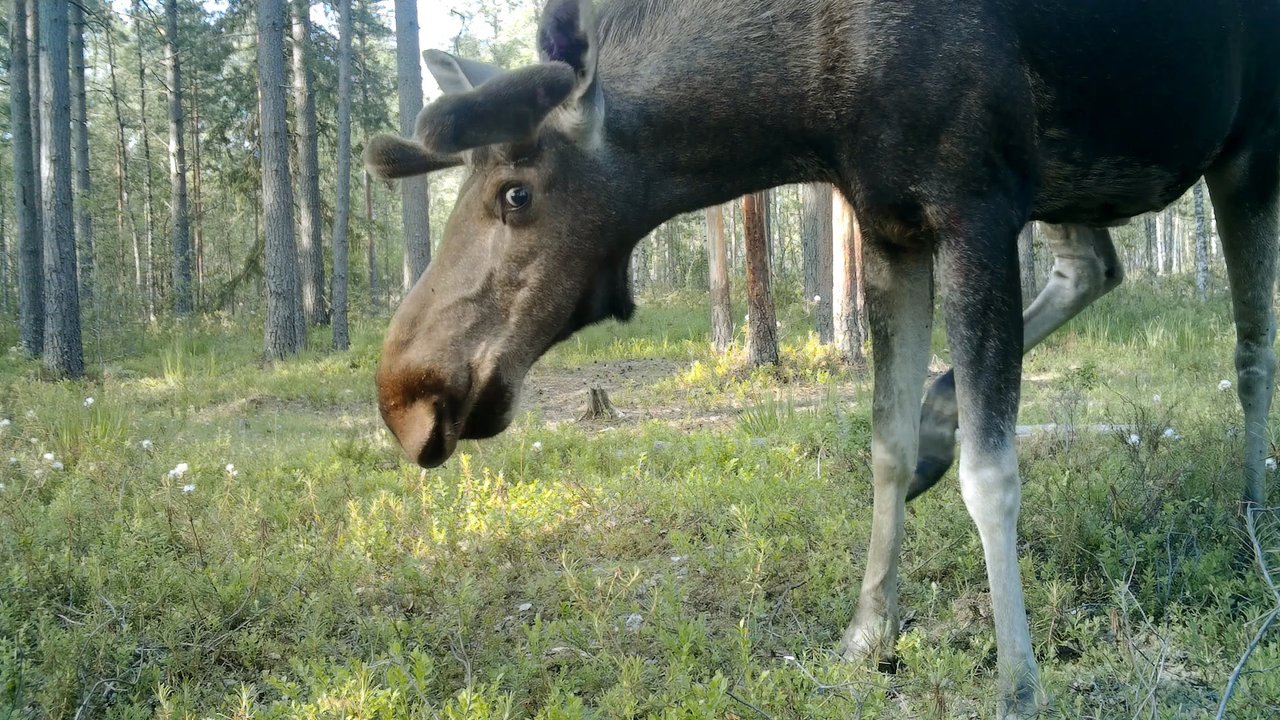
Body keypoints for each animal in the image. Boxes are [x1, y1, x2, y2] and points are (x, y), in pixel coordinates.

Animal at [363, 0, 1280, 712]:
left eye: (516, 194)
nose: (404, 395)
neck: (807, 104)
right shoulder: (891, 226)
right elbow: (883, 444)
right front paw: (868, 632)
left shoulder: (976, 206)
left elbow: (994, 474)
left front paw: (1018, 683)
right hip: (1073, 183)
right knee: (1098, 264)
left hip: (1245, 148)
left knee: (1250, 350)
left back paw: (1252, 519)